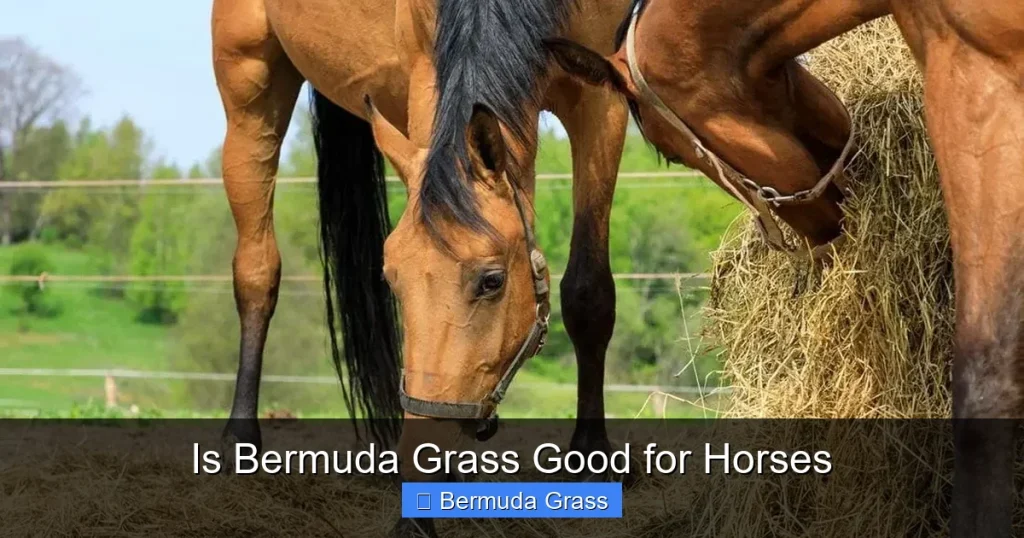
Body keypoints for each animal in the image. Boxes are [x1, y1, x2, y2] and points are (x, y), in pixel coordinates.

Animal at [212, 0, 633, 482]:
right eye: (392, 279)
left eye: (492, 280)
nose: (425, 449)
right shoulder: (424, 72)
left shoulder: (601, 101)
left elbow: (589, 292)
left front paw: (591, 453)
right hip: (248, 88)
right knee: (257, 271)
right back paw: (239, 439)